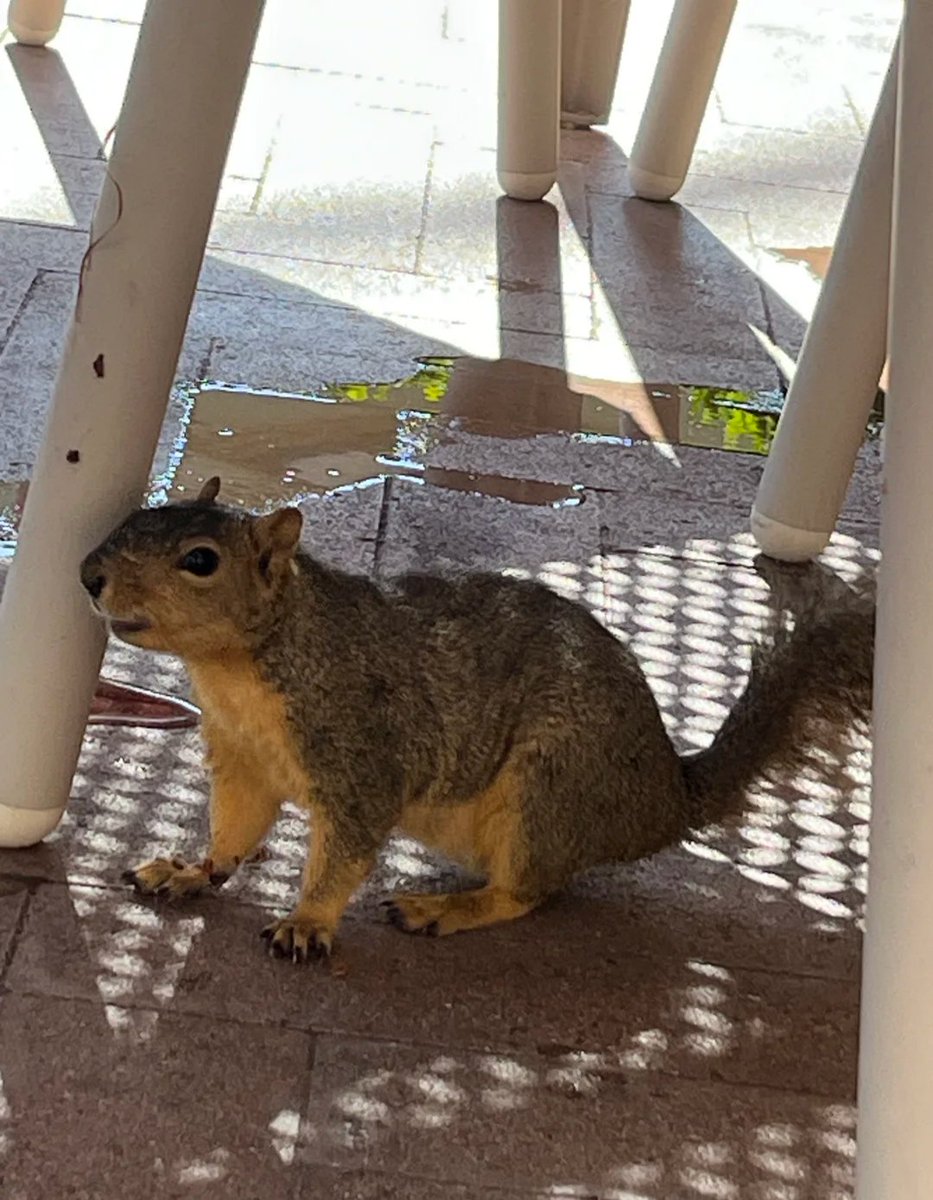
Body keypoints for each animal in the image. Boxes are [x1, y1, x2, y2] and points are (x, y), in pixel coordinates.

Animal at [79, 477, 874, 964]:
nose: (89, 574)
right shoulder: (242, 758)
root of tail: (663, 799)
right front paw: (192, 869)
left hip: (547, 787)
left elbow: (343, 853)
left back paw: (444, 910)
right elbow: (235, 830)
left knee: (526, 892)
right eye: (140, 514)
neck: (240, 669)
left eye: (201, 561)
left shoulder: (362, 754)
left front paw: (307, 922)